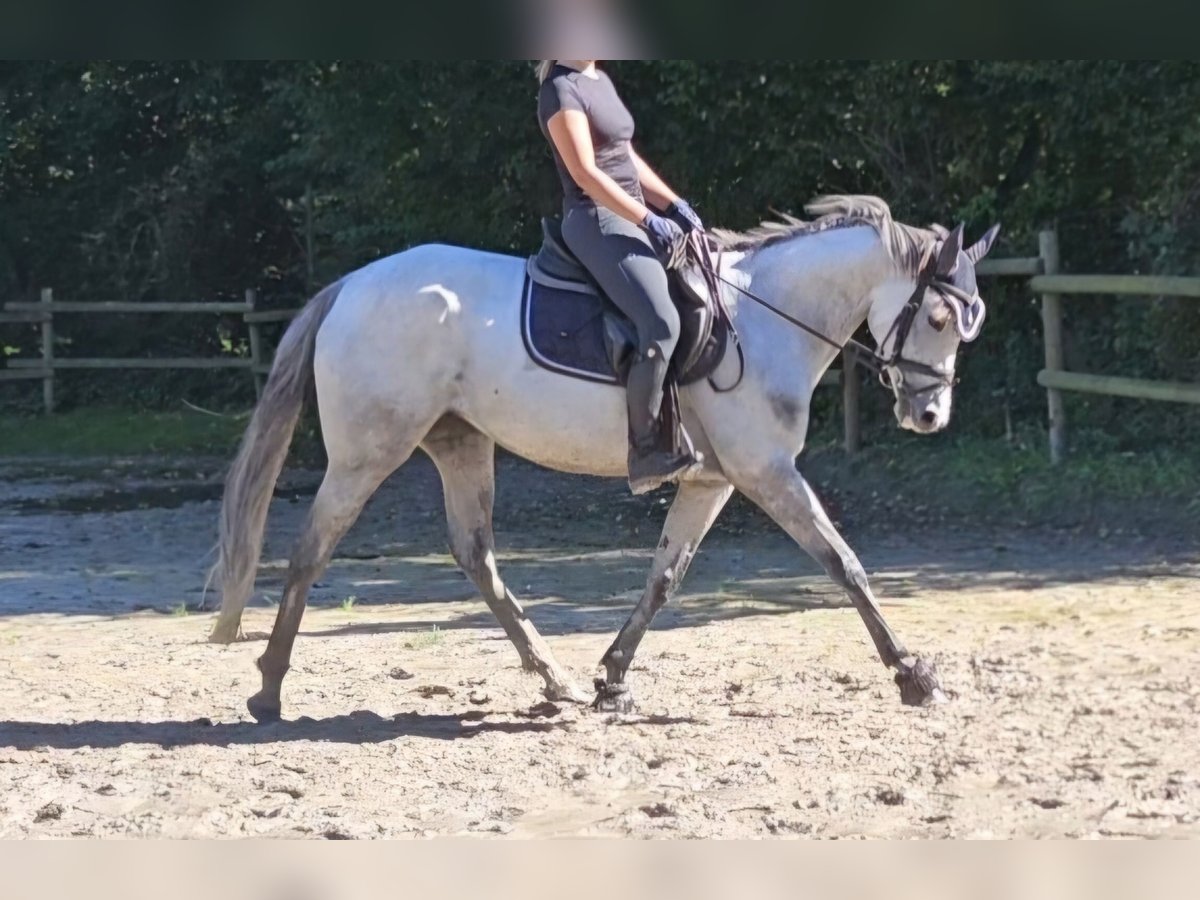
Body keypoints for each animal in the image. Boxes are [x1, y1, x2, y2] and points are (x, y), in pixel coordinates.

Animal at [211, 194, 998, 724]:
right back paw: (269, 687)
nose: (929, 416)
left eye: (969, 322)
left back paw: (552, 678)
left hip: (459, 442)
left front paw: (612, 678)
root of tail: (351, 286)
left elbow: (665, 577)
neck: (765, 316)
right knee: (311, 551)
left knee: (475, 554)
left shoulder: (714, 481)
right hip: (368, 453)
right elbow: (845, 563)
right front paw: (913, 675)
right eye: (936, 317)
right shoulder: (765, 471)